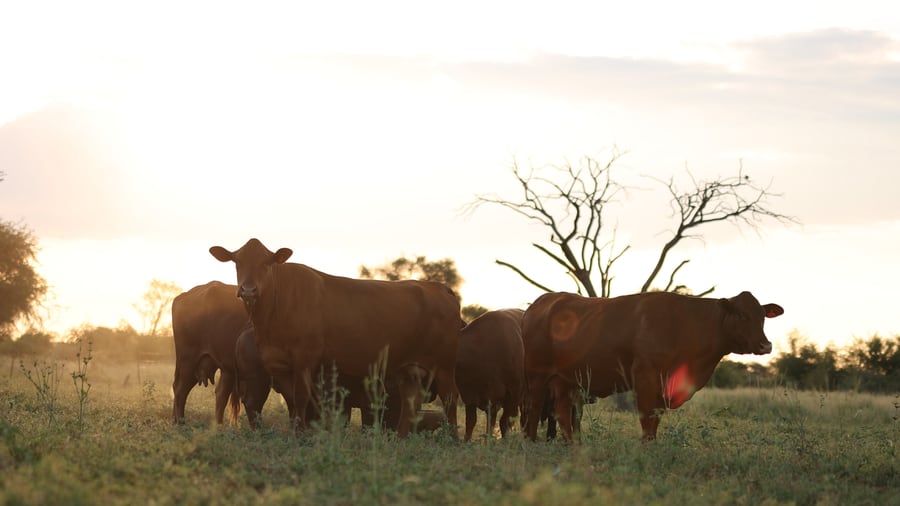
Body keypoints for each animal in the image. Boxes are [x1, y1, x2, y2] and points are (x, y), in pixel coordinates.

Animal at [171, 281, 250, 425]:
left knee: (220, 393)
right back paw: (180, 422)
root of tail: (182, 296)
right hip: (189, 361)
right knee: (180, 390)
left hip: (216, 366)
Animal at [209, 238, 460, 437]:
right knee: (411, 401)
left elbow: (301, 397)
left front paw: (300, 435)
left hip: (444, 365)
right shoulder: (278, 364)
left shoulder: (305, 359)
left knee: (450, 398)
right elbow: (292, 401)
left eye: (266, 263)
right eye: (237, 261)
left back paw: (452, 439)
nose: (248, 290)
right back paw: (400, 437)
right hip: (410, 368)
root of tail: (440, 289)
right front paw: (297, 431)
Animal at [521, 290, 783, 442]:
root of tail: (540, 303)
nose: (765, 345)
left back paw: (572, 444)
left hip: (566, 380)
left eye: (762, 316)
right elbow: (647, 416)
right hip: (536, 375)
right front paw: (647, 445)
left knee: (563, 410)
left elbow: (655, 416)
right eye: (741, 315)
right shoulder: (646, 376)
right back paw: (531, 441)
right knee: (534, 408)